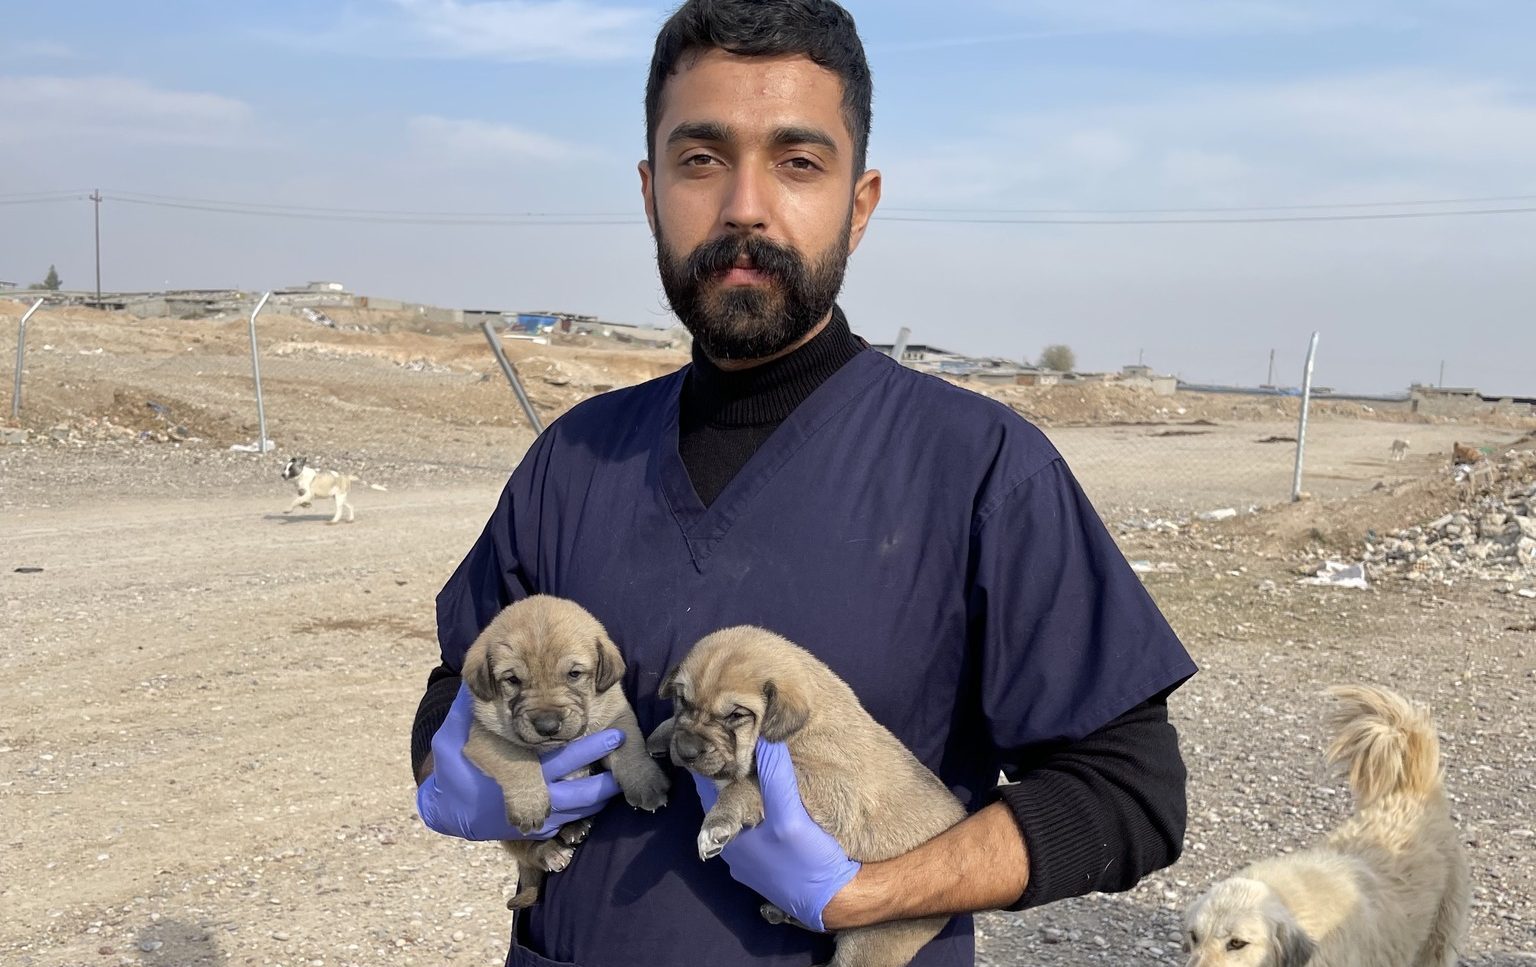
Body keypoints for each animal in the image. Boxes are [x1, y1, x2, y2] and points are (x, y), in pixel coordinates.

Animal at [457, 595, 669, 914]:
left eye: (574, 674)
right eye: (513, 680)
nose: (547, 726)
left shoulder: (618, 718)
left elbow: (630, 749)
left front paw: (646, 784)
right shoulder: (486, 737)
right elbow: (518, 758)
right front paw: (530, 804)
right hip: (508, 836)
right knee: (529, 852)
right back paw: (552, 850)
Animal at [651, 629, 964, 967]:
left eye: (736, 715)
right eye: (683, 700)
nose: (686, 752)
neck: (804, 724)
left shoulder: (828, 789)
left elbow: (747, 782)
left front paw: (718, 822)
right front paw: (661, 734)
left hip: (872, 940)